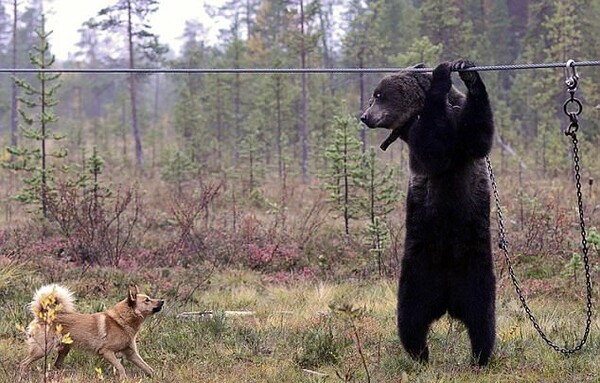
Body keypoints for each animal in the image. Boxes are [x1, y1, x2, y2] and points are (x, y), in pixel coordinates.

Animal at [19, 284, 164, 380]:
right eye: (147, 300)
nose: (162, 301)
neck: (122, 321)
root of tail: (43, 315)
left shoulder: (132, 354)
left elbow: (148, 369)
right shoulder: (107, 352)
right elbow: (121, 368)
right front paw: (124, 379)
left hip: (64, 350)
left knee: (56, 365)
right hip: (42, 350)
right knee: (23, 363)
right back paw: (22, 377)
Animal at [360, 60, 496, 366]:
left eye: (378, 95)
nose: (364, 116)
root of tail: (447, 300)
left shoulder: (462, 131)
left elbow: (477, 136)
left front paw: (468, 73)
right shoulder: (416, 136)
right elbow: (433, 150)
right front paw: (440, 76)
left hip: (477, 268)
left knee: (483, 319)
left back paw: (479, 356)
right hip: (418, 270)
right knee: (411, 318)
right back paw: (420, 354)